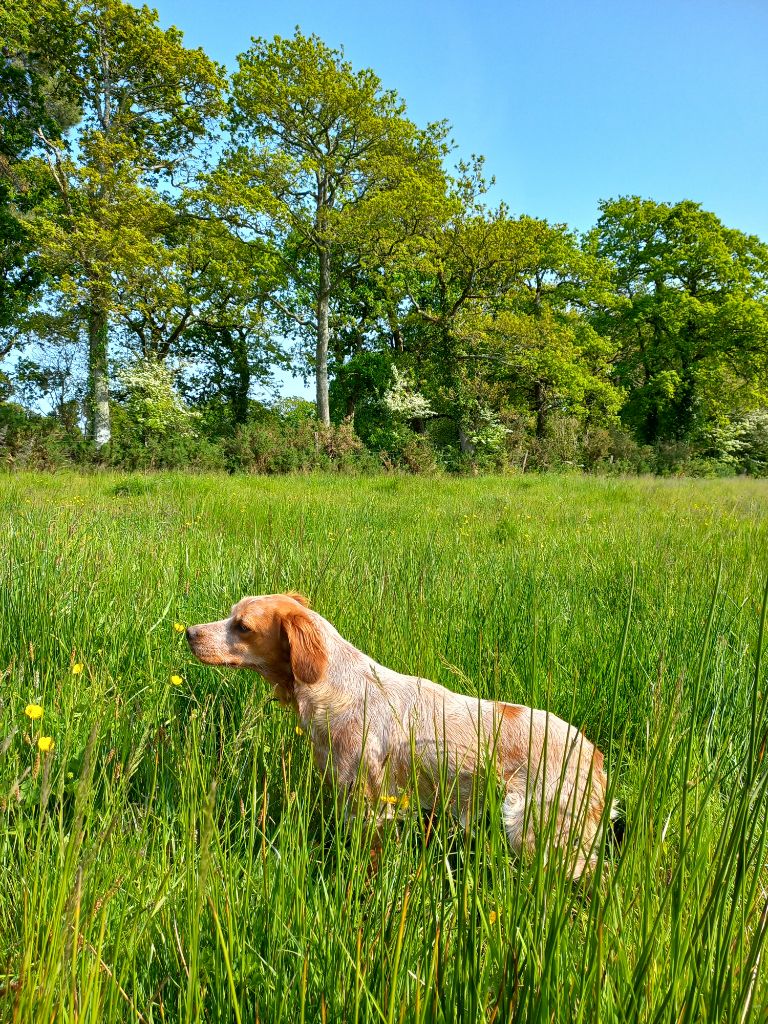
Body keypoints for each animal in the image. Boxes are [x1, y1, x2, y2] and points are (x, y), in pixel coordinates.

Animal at [188, 593, 614, 880]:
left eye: (242, 626)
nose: (189, 632)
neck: (336, 684)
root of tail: (593, 755)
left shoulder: (369, 805)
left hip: (531, 827)